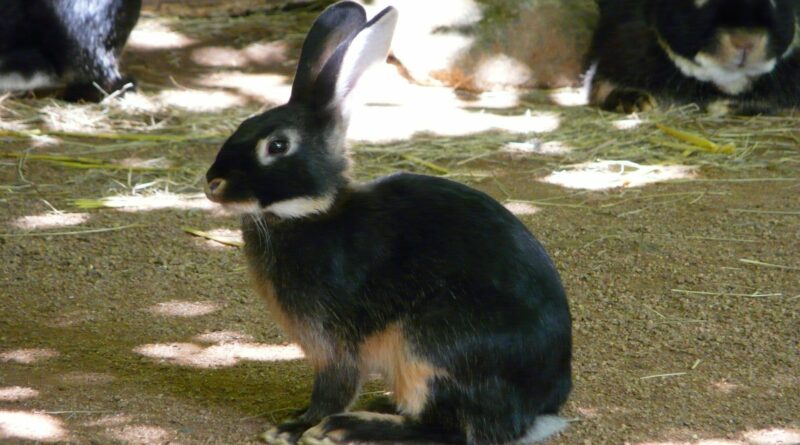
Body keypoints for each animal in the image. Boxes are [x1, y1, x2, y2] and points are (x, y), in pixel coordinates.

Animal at [203, 1, 572, 442]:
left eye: (277, 145)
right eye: (242, 125)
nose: (213, 183)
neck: (313, 211)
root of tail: (540, 407)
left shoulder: (334, 344)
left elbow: (333, 388)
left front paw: (296, 427)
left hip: (431, 343)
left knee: (446, 429)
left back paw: (347, 427)